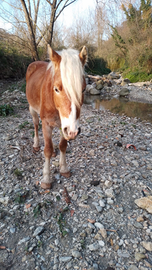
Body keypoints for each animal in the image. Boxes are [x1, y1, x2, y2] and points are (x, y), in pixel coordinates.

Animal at [25, 45, 86, 189]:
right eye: (56, 89)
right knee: (35, 124)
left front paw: (64, 168)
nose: (74, 131)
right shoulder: (47, 123)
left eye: (83, 89)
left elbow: (62, 146)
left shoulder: (65, 126)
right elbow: (47, 149)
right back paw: (36, 144)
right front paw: (46, 178)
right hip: (32, 109)